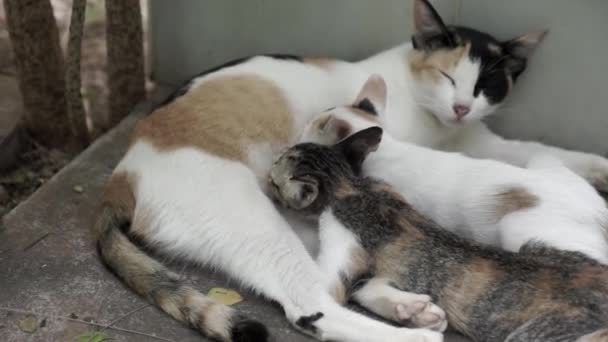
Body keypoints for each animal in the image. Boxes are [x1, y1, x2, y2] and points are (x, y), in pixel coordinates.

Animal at [270, 127, 608, 342]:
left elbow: (336, 291)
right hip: (536, 243)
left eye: (274, 178)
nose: (269, 164)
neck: (350, 186)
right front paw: (415, 310)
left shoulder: (344, 236)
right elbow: (370, 286)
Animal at [300, 75, 608, 262]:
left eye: (308, 130)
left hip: (523, 233)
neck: (388, 149)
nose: (300, 130)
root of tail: (599, 208)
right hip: (544, 162)